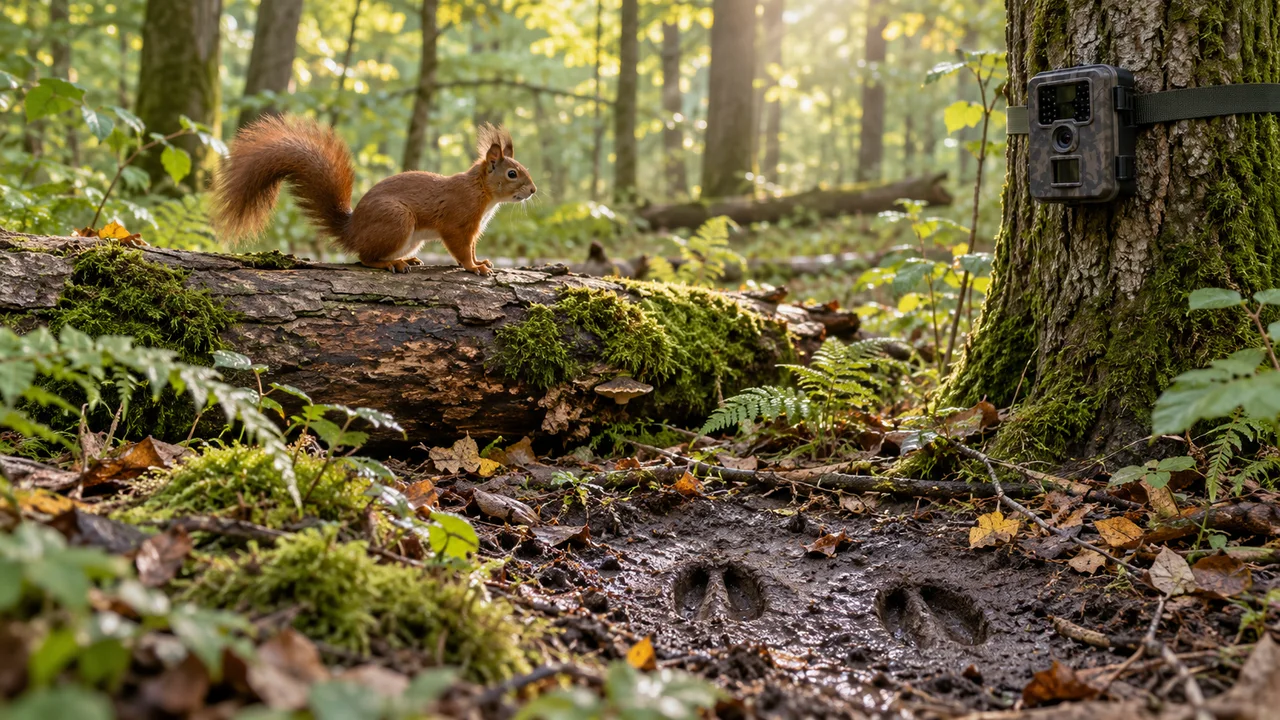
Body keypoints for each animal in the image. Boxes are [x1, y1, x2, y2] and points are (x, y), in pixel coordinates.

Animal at [210, 114, 536, 274]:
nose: (533, 190)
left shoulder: (472, 230)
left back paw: (409, 260)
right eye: (512, 173)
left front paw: (483, 262)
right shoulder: (457, 223)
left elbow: (472, 248)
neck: (480, 191)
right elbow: (461, 250)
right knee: (364, 258)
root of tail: (352, 231)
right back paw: (392, 264)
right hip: (397, 221)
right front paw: (474, 268)